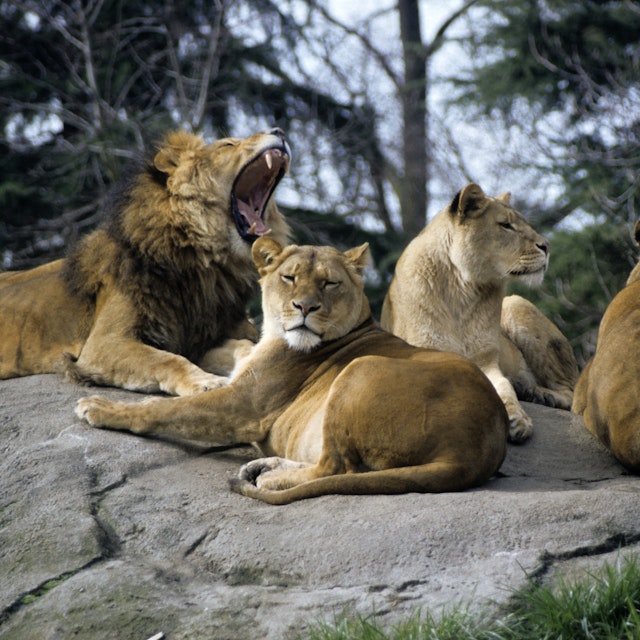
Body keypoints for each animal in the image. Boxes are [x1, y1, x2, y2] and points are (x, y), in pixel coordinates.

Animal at [0, 128, 291, 396]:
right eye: (228, 145)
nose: (279, 131)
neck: (203, 263)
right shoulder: (104, 343)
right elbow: (166, 360)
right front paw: (205, 383)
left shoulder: (200, 338)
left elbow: (243, 346)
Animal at [76, 238, 509, 504]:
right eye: (289, 277)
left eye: (330, 283)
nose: (305, 307)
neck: (276, 335)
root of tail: (471, 453)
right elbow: (232, 353)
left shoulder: (243, 405)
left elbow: (163, 410)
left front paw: (100, 407)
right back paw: (266, 467)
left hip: (359, 370)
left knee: (336, 466)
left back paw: (270, 476)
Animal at [381, 183, 578, 444]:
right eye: (506, 225)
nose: (547, 246)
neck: (461, 290)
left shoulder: (485, 361)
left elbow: (503, 387)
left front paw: (518, 419)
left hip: (515, 305)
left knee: (573, 393)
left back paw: (540, 395)